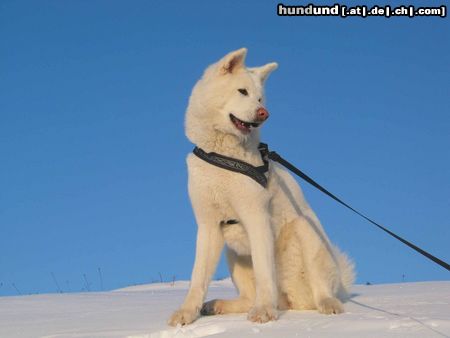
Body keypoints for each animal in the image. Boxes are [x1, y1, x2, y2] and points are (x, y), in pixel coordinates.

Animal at [167, 48, 354, 326]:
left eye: (259, 98)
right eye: (242, 91)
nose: (264, 112)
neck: (221, 154)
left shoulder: (256, 218)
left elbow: (266, 274)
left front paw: (264, 311)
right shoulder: (208, 226)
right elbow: (198, 278)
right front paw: (187, 313)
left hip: (305, 230)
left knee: (319, 288)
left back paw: (326, 304)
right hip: (232, 251)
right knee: (247, 298)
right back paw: (217, 305)